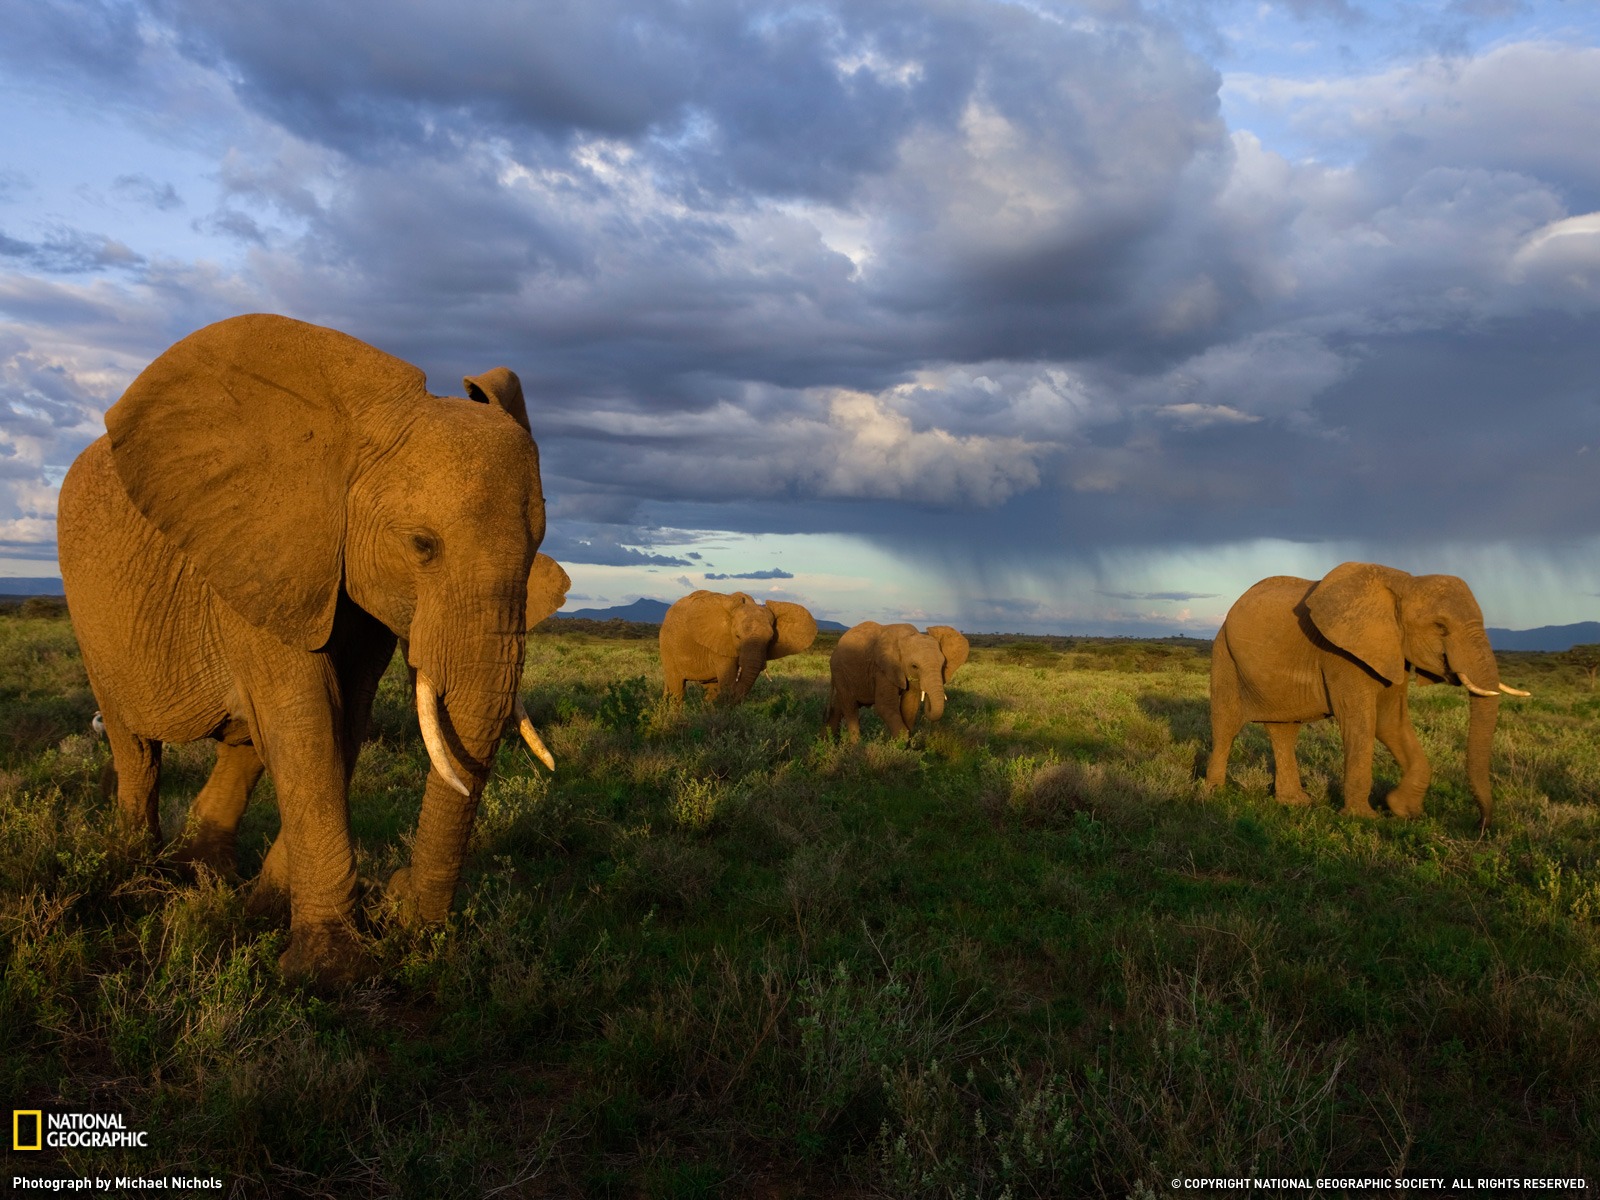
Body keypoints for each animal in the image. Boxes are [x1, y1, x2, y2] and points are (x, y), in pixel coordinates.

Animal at [59, 312, 556, 985]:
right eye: (422, 545)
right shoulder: (262, 551)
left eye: (537, 550)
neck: (348, 442)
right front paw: (327, 971)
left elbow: (344, 718)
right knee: (135, 746)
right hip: (91, 618)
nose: (399, 898)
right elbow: (309, 717)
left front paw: (273, 916)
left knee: (243, 745)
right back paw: (137, 877)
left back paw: (209, 879)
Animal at [656, 592, 819, 704]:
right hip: (667, 646)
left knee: (710, 690)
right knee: (677, 690)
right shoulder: (721, 644)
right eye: (737, 636)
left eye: (770, 640)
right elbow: (727, 683)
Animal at [832, 624, 966, 739]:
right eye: (914, 666)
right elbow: (885, 706)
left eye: (943, 665)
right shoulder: (883, 669)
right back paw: (856, 746)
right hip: (840, 671)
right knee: (850, 708)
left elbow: (910, 705)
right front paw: (898, 744)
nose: (930, 629)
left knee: (837, 707)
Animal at [1203, 563, 1529, 825]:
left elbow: (1390, 722)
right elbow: (1360, 722)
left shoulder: (1393, 651)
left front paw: (1402, 810)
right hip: (1224, 655)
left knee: (1284, 731)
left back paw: (1295, 803)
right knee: (1227, 724)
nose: (1481, 825)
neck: (1405, 583)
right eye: (1440, 626)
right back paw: (1214, 794)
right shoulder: (1341, 654)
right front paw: (1364, 818)